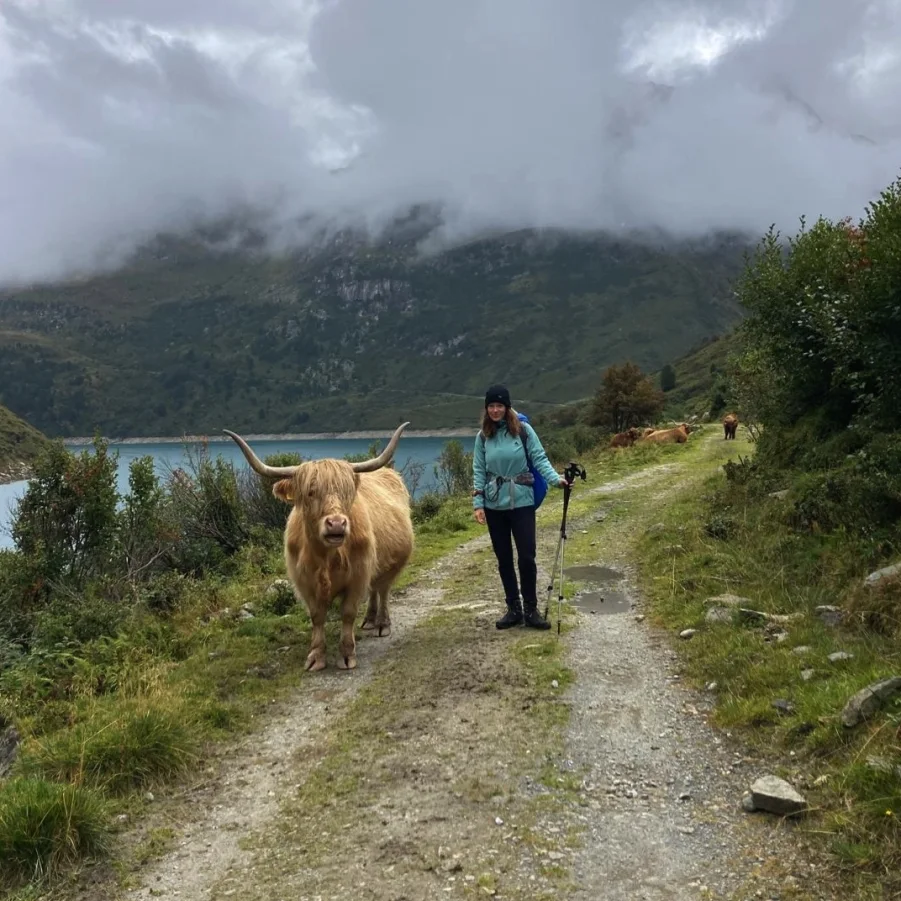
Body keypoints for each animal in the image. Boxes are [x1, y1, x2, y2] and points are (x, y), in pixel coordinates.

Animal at [224, 423, 415, 672]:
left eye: (346, 492)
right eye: (310, 492)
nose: (337, 523)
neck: (326, 558)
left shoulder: (358, 576)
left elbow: (347, 613)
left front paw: (346, 655)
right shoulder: (304, 581)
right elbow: (317, 616)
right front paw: (316, 656)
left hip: (392, 564)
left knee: (382, 589)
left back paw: (382, 624)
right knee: (375, 589)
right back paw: (369, 621)